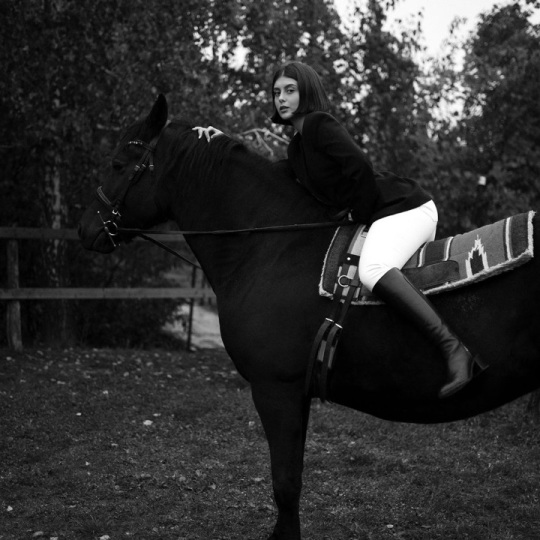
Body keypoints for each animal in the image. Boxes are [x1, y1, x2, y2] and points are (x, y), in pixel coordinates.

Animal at [79, 95, 540, 540]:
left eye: (118, 164)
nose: (87, 230)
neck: (273, 247)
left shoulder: (275, 389)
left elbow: (285, 483)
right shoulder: (294, 393)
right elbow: (292, 479)